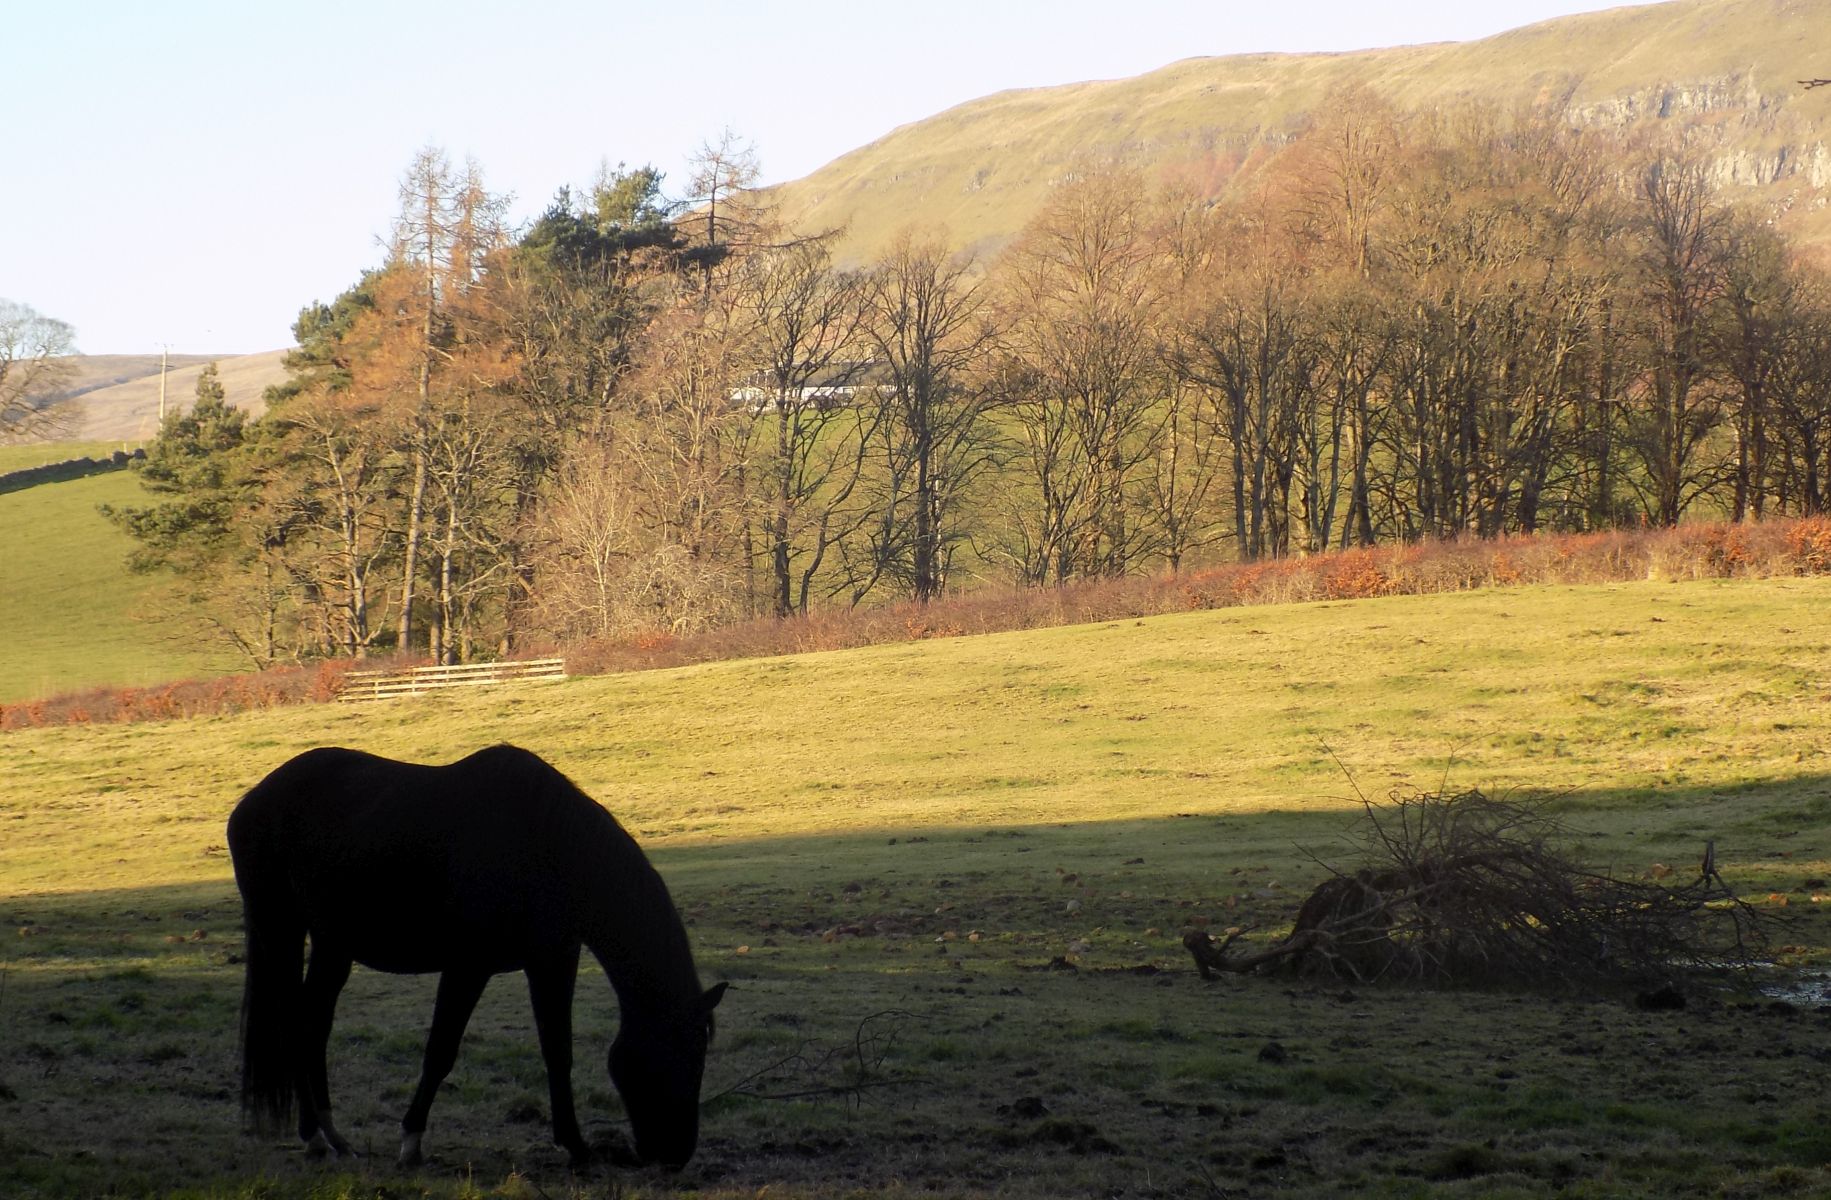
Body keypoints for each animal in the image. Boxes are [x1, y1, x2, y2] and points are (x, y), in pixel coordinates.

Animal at [223, 747, 721, 1172]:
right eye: (685, 1055)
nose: (676, 1154)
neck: (547, 844)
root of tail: (250, 803)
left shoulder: (552, 960)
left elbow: (557, 1051)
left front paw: (576, 1147)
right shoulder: (468, 966)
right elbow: (440, 1051)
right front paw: (411, 1143)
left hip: (333, 946)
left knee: (313, 1025)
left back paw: (331, 1136)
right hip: (281, 931)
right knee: (294, 1026)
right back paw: (313, 1136)